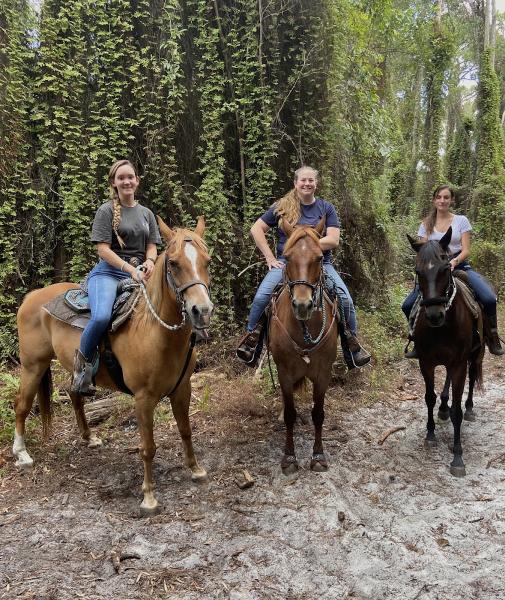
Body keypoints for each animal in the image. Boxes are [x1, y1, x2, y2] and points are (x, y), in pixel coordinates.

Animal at [14, 218, 213, 512]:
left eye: (207, 261)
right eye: (174, 264)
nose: (202, 310)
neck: (154, 331)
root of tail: (32, 297)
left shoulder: (182, 389)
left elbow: (186, 430)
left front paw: (196, 470)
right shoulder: (143, 399)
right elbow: (147, 447)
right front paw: (149, 497)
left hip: (70, 368)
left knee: (74, 394)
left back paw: (89, 437)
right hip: (32, 365)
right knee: (22, 405)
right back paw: (22, 454)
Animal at [268, 219, 338, 474]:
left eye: (318, 257)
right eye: (287, 257)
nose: (302, 305)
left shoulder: (323, 372)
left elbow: (318, 413)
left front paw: (318, 455)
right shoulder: (284, 373)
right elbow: (290, 413)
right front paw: (289, 457)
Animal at [408, 226, 482, 478]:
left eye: (445, 268)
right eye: (418, 271)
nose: (434, 315)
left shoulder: (459, 362)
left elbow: (457, 412)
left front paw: (458, 457)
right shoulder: (426, 361)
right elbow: (429, 397)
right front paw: (430, 434)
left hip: (474, 355)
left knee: (472, 376)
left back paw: (469, 408)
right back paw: (443, 408)